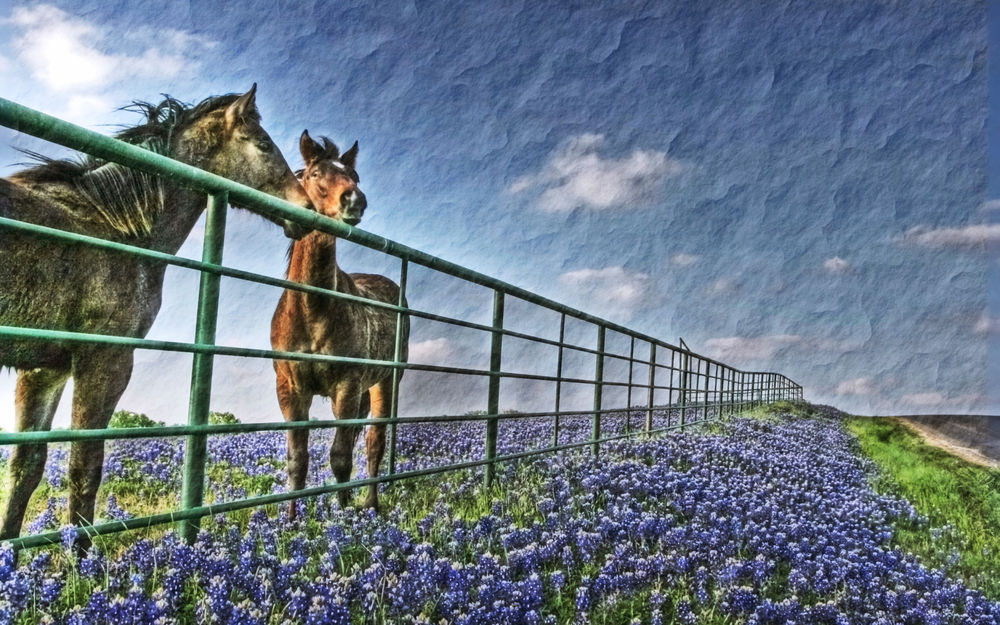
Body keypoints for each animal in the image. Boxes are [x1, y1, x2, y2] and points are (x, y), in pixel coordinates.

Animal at [0, 85, 314, 548]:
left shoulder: (44, 368)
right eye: (262, 144)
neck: (115, 229)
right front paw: (82, 559)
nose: (306, 210)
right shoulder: (105, 360)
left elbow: (24, 468)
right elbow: (84, 469)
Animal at [271, 130, 408, 517]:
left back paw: (372, 503)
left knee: (375, 441)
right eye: (316, 173)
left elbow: (341, 458)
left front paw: (345, 515)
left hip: (385, 382)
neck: (313, 308)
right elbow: (297, 459)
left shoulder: (348, 386)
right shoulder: (290, 389)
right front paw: (290, 521)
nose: (354, 200)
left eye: (355, 176)